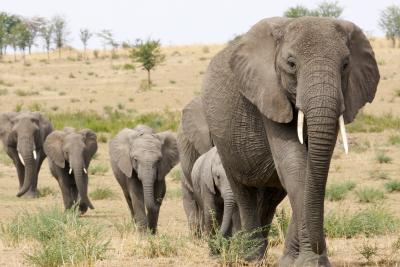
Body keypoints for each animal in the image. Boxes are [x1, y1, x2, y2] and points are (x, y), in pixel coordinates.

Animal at [202, 16, 380, 266]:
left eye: (346, 64)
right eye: (291, 64)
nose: (320, 250)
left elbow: (307, 174)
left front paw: (296, 261)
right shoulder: (269, 94)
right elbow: (295, 167)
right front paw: (311, 262)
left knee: (270, 198)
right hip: (224, 145)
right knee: (243, 192)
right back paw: (252, 258)